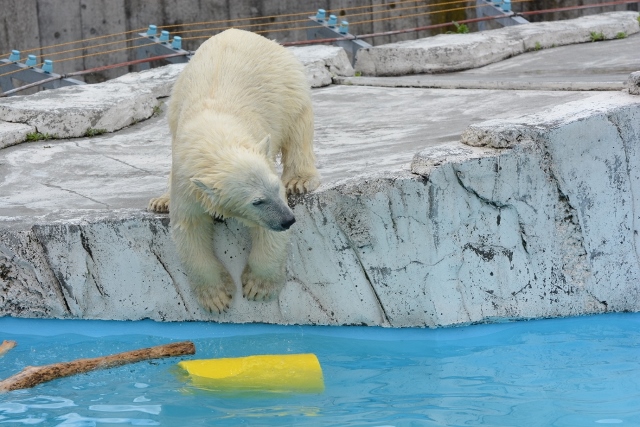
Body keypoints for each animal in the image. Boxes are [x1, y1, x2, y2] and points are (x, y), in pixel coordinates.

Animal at [149, 28, 320, 312]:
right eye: (256, 201)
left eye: (276, 189)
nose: (288, 220)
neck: (215, 139)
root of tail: (237, 31)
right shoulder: (186, 180)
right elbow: (190, 229)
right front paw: (216, 297)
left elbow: (268, 235)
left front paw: (258, 288)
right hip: (175, 101)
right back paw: (160, 201)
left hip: (286, 85)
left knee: (297, 126)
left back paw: (299, 179)